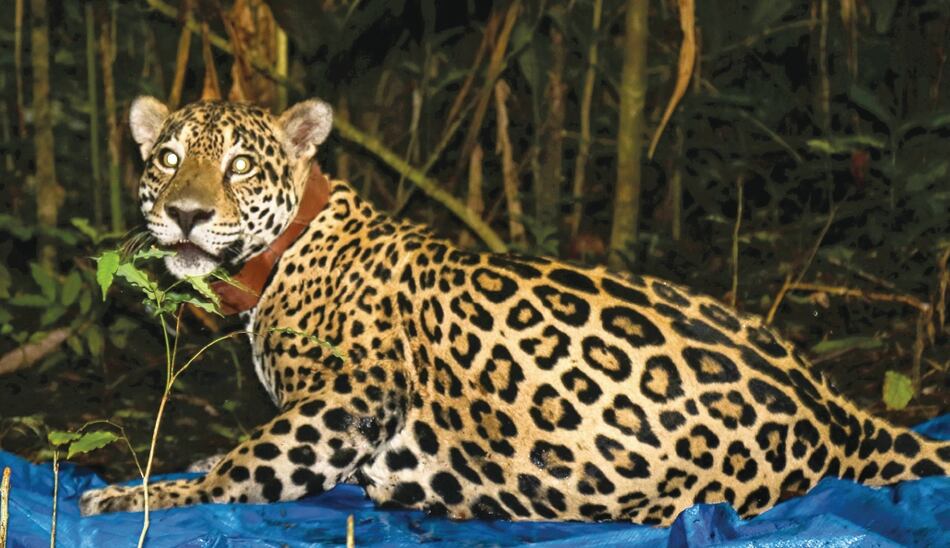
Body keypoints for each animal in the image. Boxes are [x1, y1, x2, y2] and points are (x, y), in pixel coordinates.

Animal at [79, 96, 950, 526]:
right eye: (167, 159)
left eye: (240, 167)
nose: (186, 214)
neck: (285, 256)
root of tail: (837, 412)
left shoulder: (352, 396)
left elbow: (241, 468)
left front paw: (136, 497)